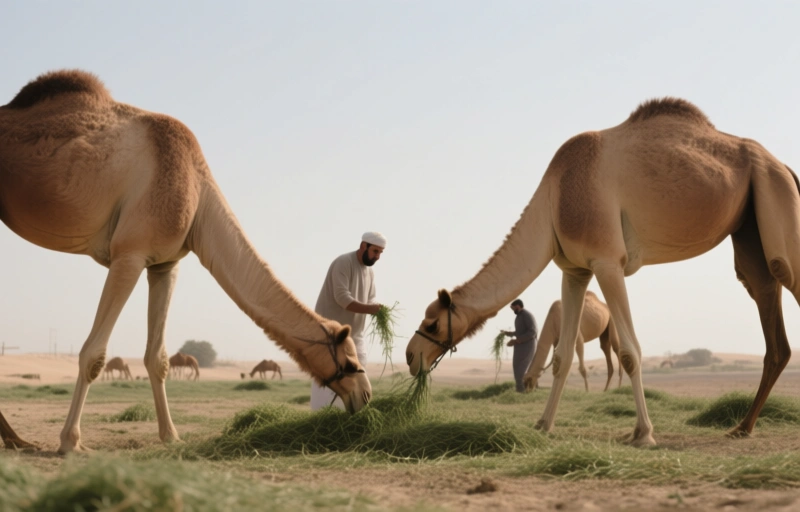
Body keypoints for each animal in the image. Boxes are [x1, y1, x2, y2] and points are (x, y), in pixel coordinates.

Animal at [0, 70, 371, 454]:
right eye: (350, 361)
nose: (366, 395)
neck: (198, 195)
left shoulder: (164, 265)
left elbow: (157, 358)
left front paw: (171, 436)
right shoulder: (129, 254)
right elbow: (94, 353)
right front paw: (70, 442)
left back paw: (16, 440)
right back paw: (19, 440)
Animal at [406, 97, 800, 447]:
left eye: (432, 324)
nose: (411, 356)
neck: (554, 199)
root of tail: (783, 165)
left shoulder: (608, 261)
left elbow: (630, 351)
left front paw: (643, 434)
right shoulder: (574, 270)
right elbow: (563, 357)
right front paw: (543, 424)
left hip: (775, 193)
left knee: (785, 274)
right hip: (751, 226)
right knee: (766, 301)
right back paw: (741, 428)